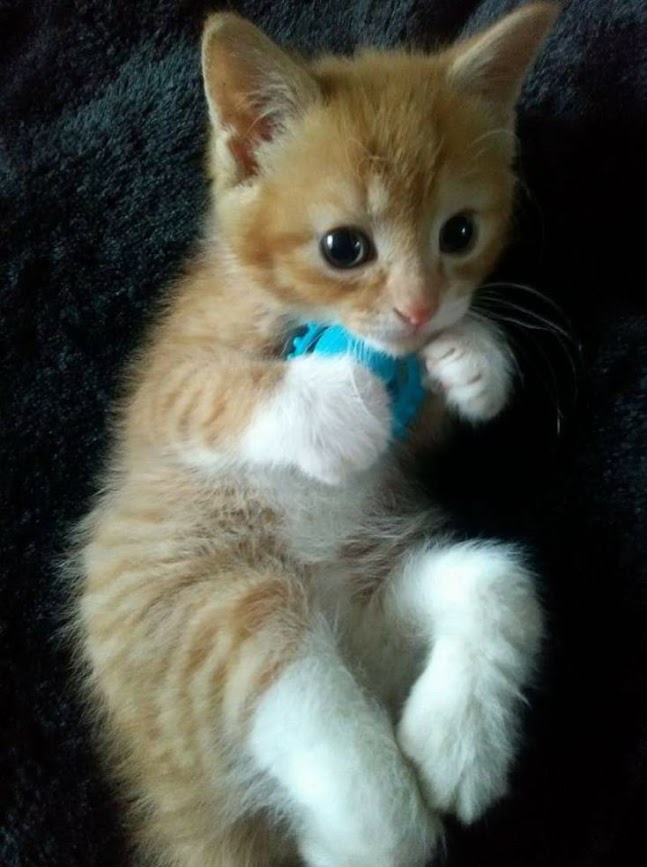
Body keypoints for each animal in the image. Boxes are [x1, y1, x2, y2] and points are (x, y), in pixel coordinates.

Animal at [71, 6, 556, 867]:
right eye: (343, 247)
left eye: (459, 232)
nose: (419, 308)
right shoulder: (163, 384)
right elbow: (215, 394)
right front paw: (338, 401)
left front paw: (475, 356)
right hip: (210, 608)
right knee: (295, 684)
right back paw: (374, 822)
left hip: (368, 598)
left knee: (493, 577)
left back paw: (452, 743)